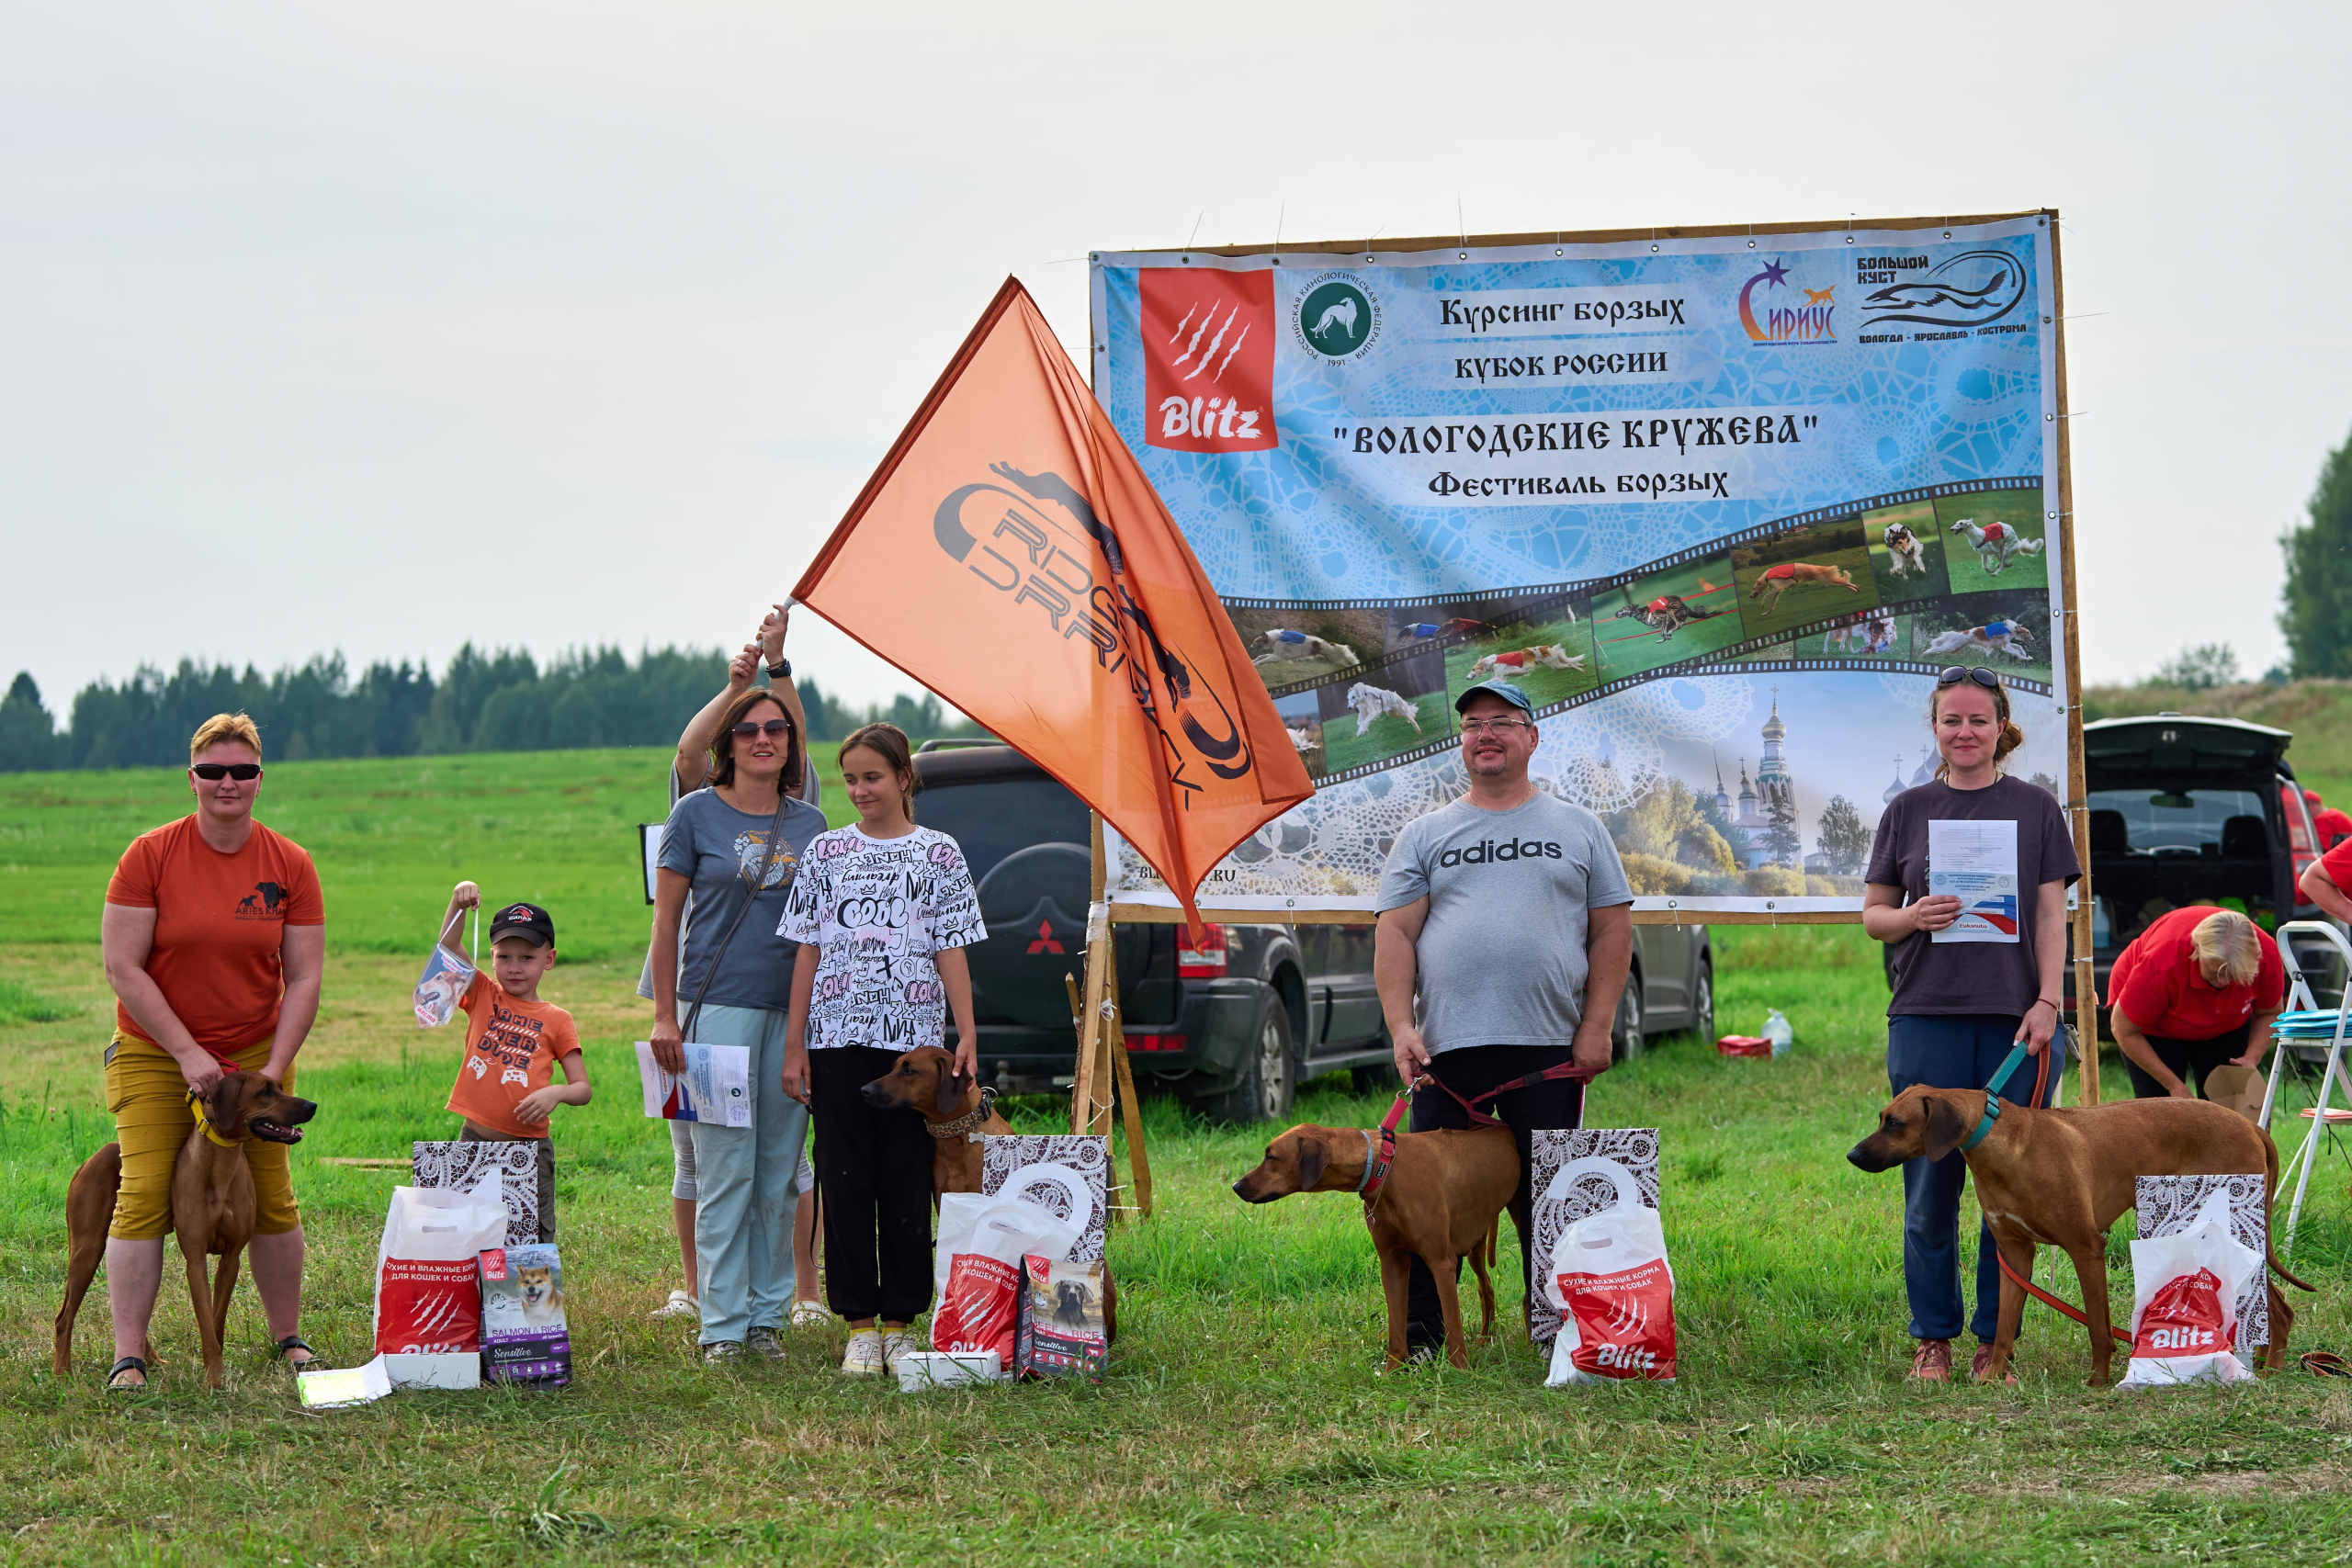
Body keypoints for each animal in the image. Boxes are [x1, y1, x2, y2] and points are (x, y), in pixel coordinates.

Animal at [55, 1072, 317, 1392]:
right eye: (265, 1091)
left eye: (279, 1086)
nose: (312, 1106)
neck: (219, 1165)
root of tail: (85, 1162)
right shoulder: (195, 1260)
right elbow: (205, 1321)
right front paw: (214, 1378)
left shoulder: (231, 1259)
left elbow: (216, 1322)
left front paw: (215, 1372)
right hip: (88, 1249)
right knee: (63, 1318)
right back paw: (62, 1375)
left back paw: (151, 1360)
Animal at [1223, 1123, 1514, 1363]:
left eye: (1271, 1157)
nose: (1236, 1186)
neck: (1382, 1167)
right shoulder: (1392, 1263)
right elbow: (1397, 1330)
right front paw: (1394, 1374)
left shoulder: (1441, 1262)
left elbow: (1453, 1327)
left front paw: (1461, 1369)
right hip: (1476, 1244)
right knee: (1486, 1288)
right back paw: (1486, 1338)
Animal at [1844, 1086, 2304, 1382]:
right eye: (1882, 1119)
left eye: (1895, 1123)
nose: (1852, 1155)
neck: (2002, 1144)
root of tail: (2252, 1126)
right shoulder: (2014, 1255)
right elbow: (2003, 1327)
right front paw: (1992, 1377)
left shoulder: (2086, 1247)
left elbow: (2098, 1327)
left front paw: (2098, 1380)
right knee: (2274, 1306)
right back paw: (2259, 1362)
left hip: (2231, 1229)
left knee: (2280, 1308)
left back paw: (2273, 1368)